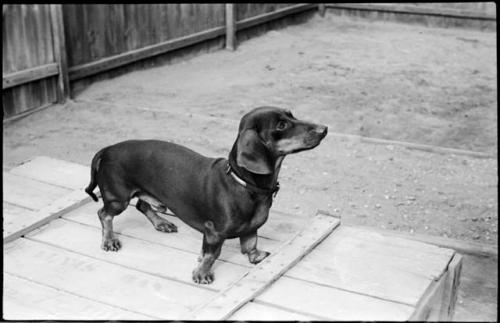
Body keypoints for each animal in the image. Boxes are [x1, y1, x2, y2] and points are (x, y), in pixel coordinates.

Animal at [85, 106, 328, 284]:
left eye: (291, 114)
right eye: (281, 125)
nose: (324, 128)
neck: (243, 184)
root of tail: (107, 149)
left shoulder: (251, 228)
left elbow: (250, 243)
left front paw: (256, 256)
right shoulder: (213, 232)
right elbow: (212, 255)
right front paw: (202, 273)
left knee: (142, 206)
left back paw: (162, 223)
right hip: (118, 198)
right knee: (104, 214)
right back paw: (109, 240)